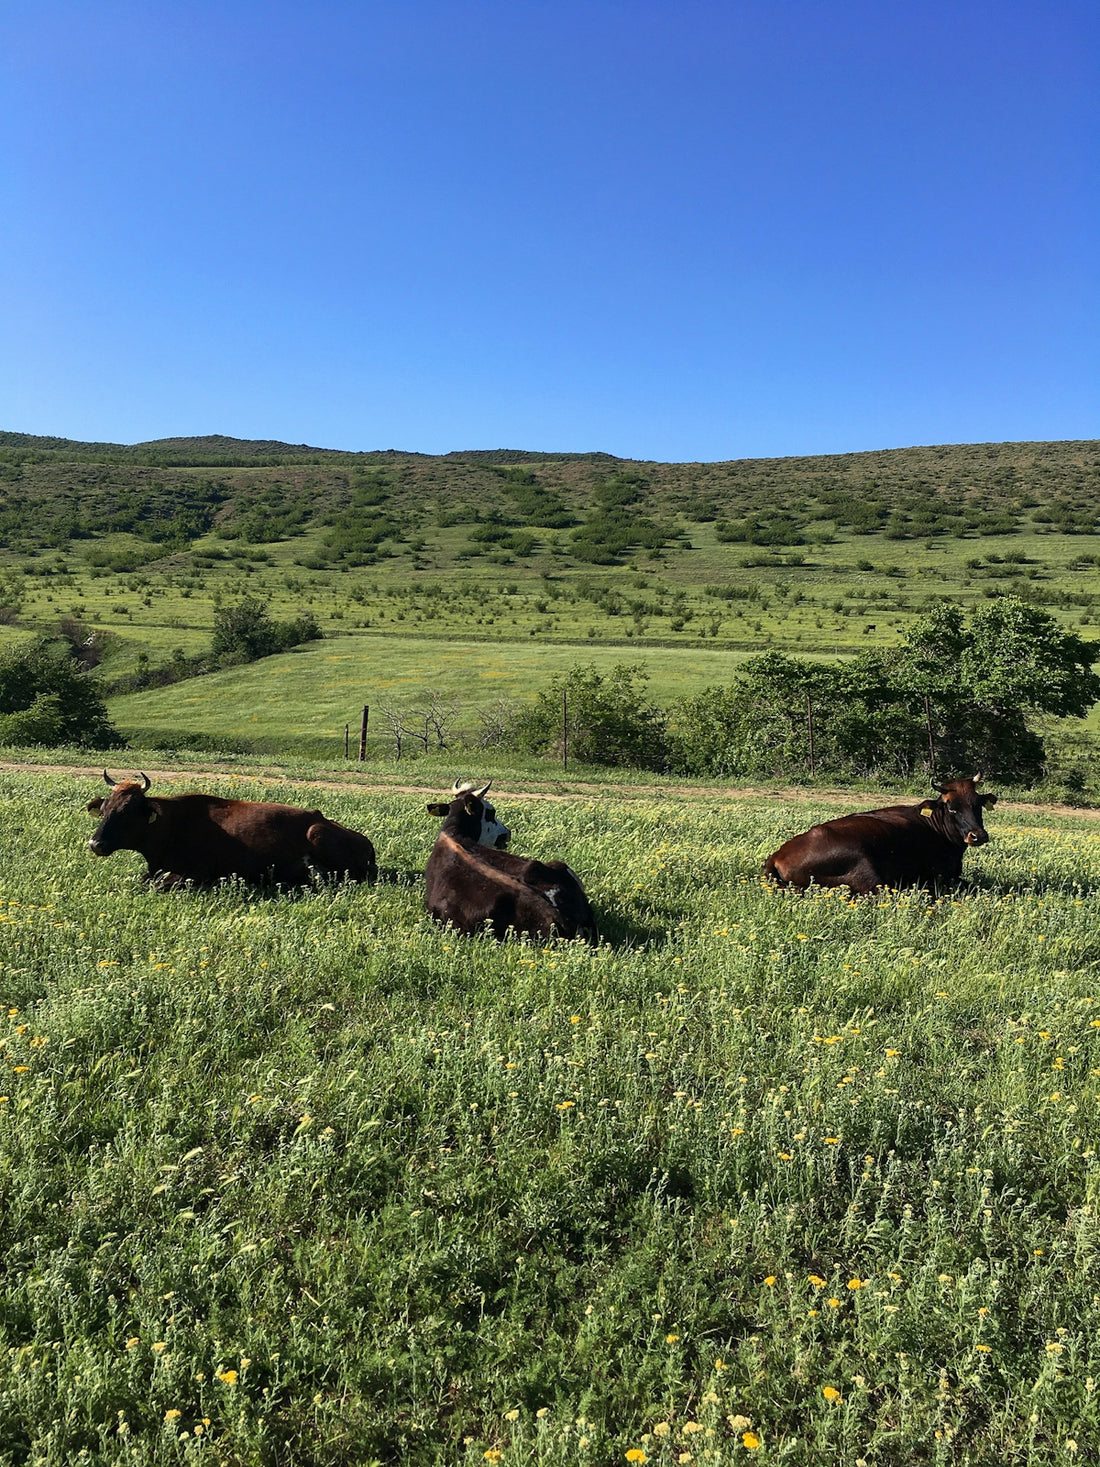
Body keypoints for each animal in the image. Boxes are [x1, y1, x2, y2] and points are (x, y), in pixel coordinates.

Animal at [762, 775, 997, 896]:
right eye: (951, 807)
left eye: (977, 804)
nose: (978, 835)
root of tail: (777, 856)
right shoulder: (942, 877)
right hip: (866, 873)